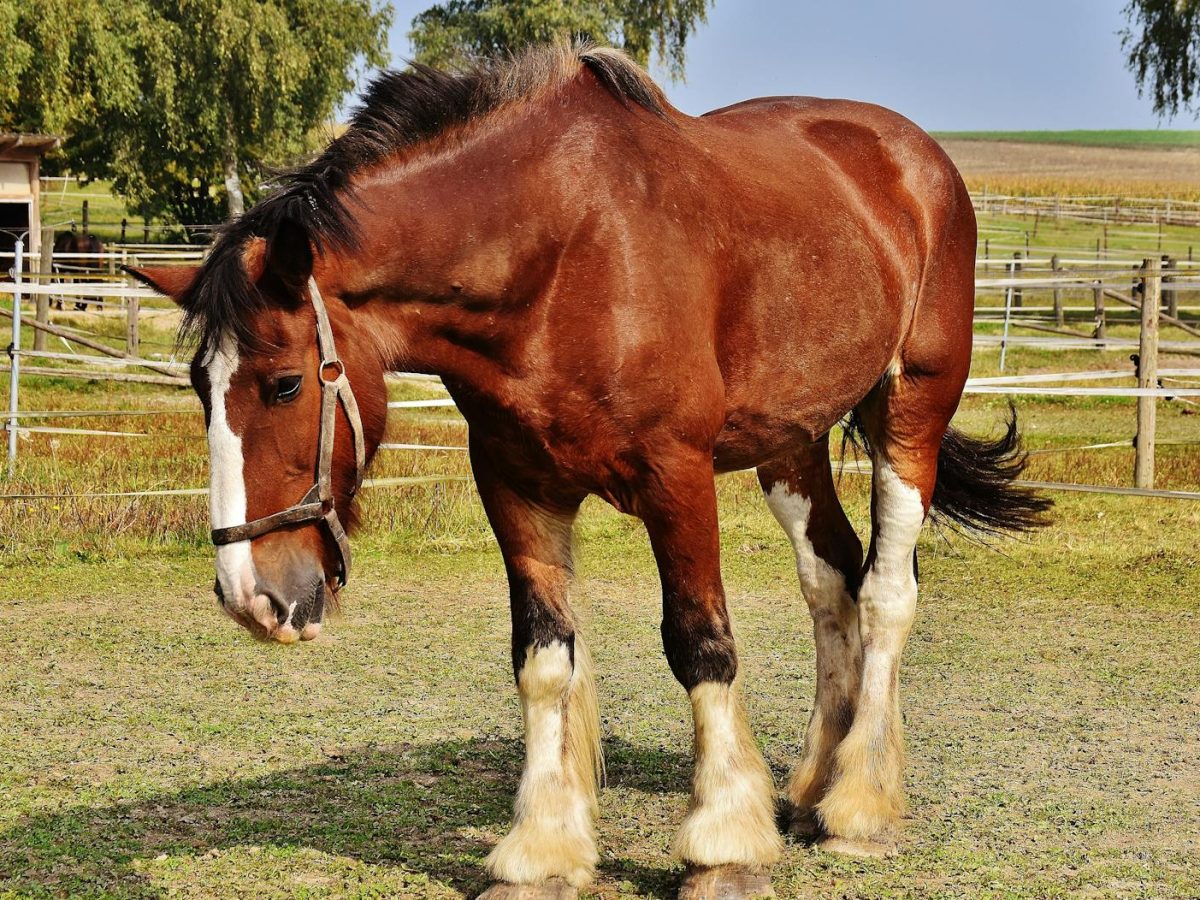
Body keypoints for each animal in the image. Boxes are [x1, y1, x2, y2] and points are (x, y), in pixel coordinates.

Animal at [129, 43, 1050, 900]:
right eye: (200, 387)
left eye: (284, 382)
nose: (251, 596)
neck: (561, 256)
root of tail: (914, 157)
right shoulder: (516, 485)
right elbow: (543, 660)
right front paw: (541, 850)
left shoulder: (676, 478)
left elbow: (702, 646)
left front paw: (722, 846)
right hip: (791, 441)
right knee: (831, 580)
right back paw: (812, 787)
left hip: (911, 411)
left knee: (886, 591)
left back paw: (859, 805)